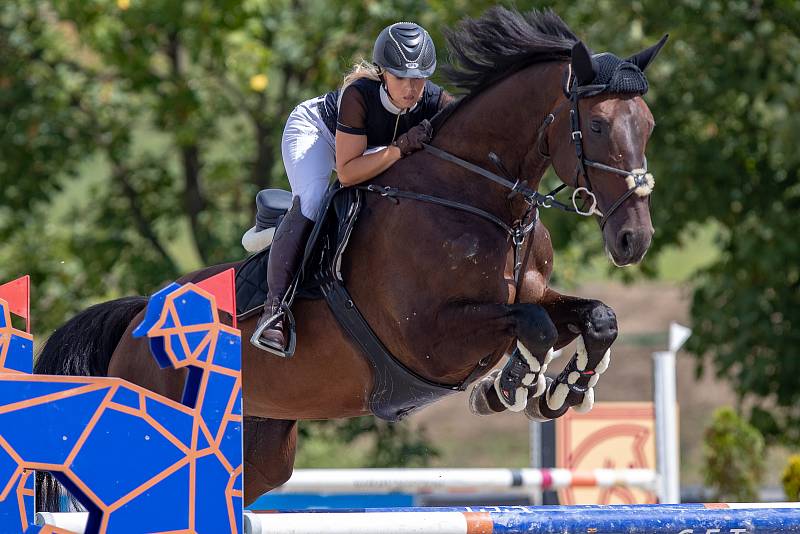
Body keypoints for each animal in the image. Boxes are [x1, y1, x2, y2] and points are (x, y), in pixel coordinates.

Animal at [34, 8, 664, 510]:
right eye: (598, 125)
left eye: (648, 124)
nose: (633, 240)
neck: (481, 199)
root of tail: (136, 317)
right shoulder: (430, 339)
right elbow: (531, 325)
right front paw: (509, 386)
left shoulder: (527, 297)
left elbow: (596, 317)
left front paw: (563, 391)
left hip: (259, 447)